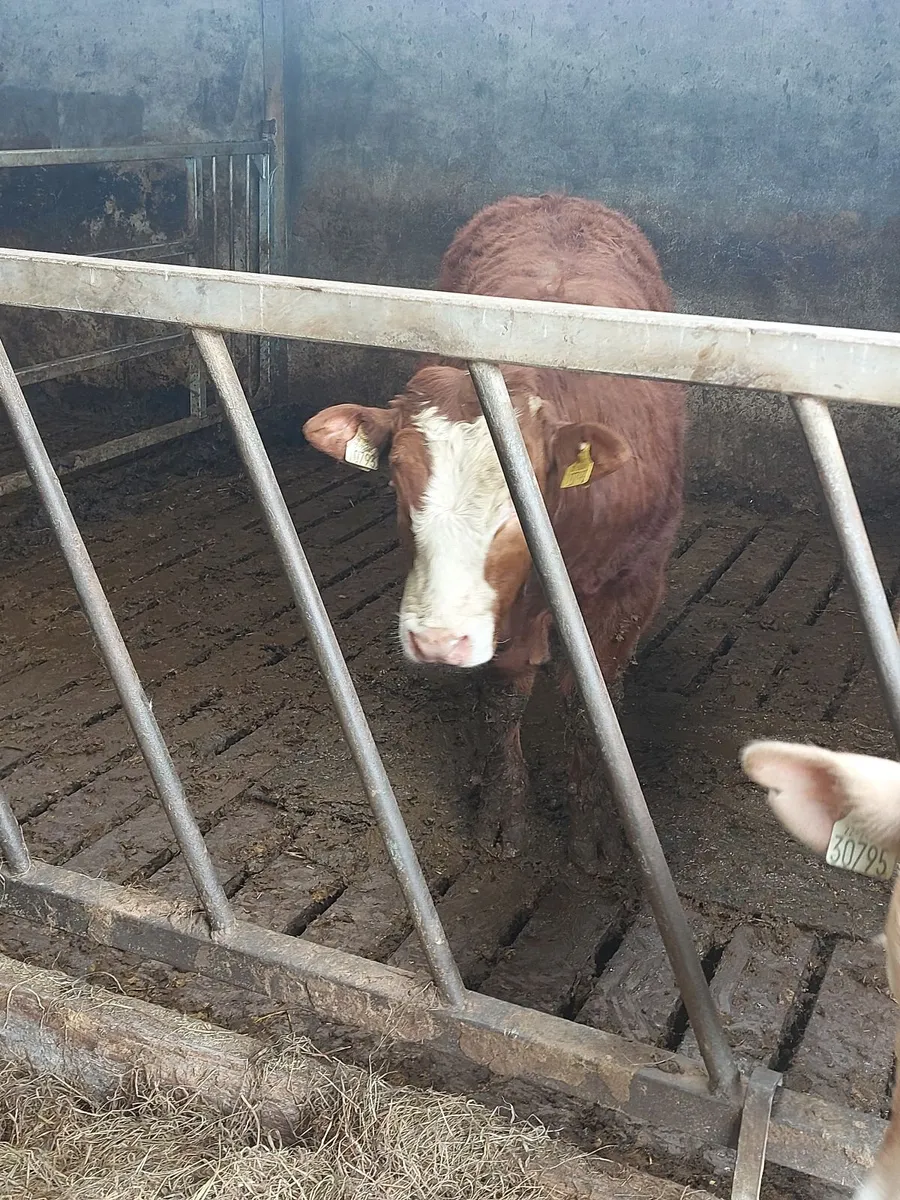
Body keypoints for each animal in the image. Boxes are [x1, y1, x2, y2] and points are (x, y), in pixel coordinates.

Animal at [303, 194, 685, 875]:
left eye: (522, 490)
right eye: (396, 480)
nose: (436, 640)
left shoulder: (633, 586)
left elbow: (593, 702)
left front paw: (595, 825)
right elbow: (504, 695)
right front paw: (504, 811)